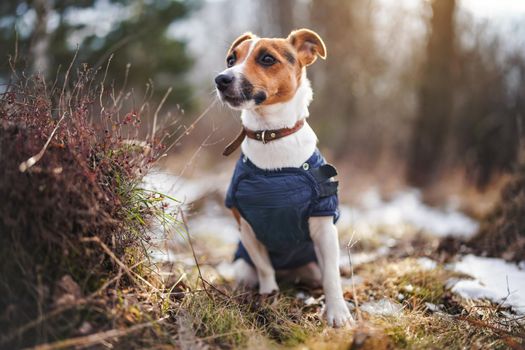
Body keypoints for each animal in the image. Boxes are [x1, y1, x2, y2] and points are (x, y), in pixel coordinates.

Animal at [213, 28, 352, 326]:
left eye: (267, 59)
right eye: (231, 59)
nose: (221, 79)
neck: (271, 135)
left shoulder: (324, 226)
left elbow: (332, 277)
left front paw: (337, 312)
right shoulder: (247, 227)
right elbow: (265, 268)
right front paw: (269, 295)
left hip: (311, 265)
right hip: (242, 267)